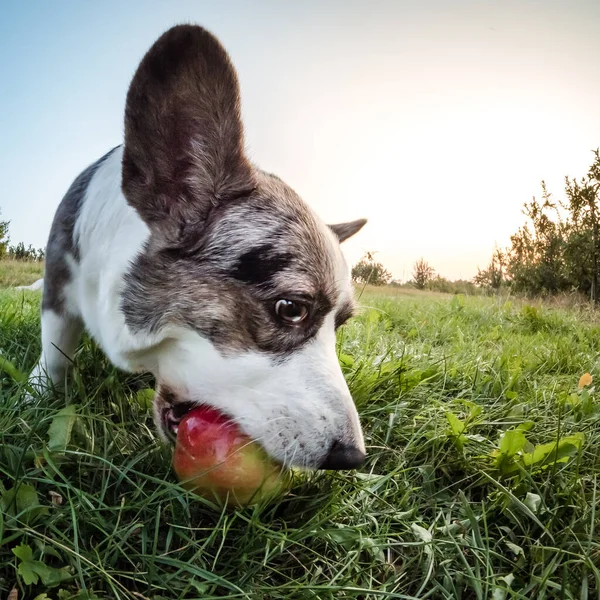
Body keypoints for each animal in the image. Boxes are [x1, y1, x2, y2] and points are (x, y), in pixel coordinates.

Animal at [30, 23, 368, 472]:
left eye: (340, 325)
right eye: (291, 309)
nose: (351, 457)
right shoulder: (60, 280)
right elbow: (54, 351)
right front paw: (36, 393)